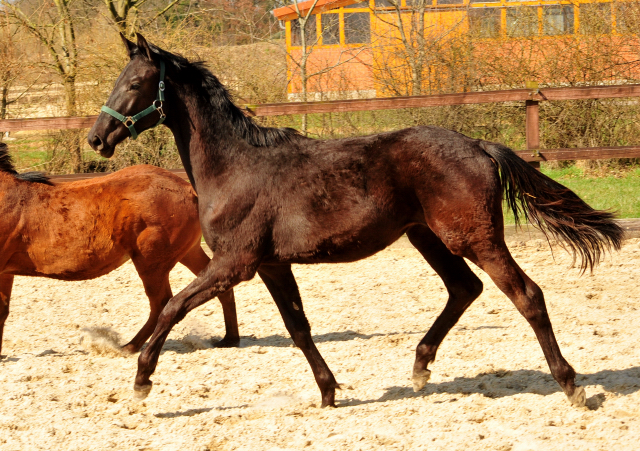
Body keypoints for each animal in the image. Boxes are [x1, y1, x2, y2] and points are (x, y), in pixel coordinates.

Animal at [0, 143, 239, 358]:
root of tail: (189, 190)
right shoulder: (6, 273)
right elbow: (3, 310)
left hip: (151, 262)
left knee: (161, 303)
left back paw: (129, 347)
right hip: (188, 252)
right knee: (219, 286)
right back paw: (229, 339)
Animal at [87, 35, 624, 410]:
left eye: (134, 84)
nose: (97, 138)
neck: (235, 166)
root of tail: (478, 145)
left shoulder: (235, 263)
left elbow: (173, 306)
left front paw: (141, 380)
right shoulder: (272, 265)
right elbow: (298, 327)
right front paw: (328, 392)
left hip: (475, 238)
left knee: (526, 295)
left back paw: (571, 386)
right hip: (428, 237)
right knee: (464, 289)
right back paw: (420, 369)